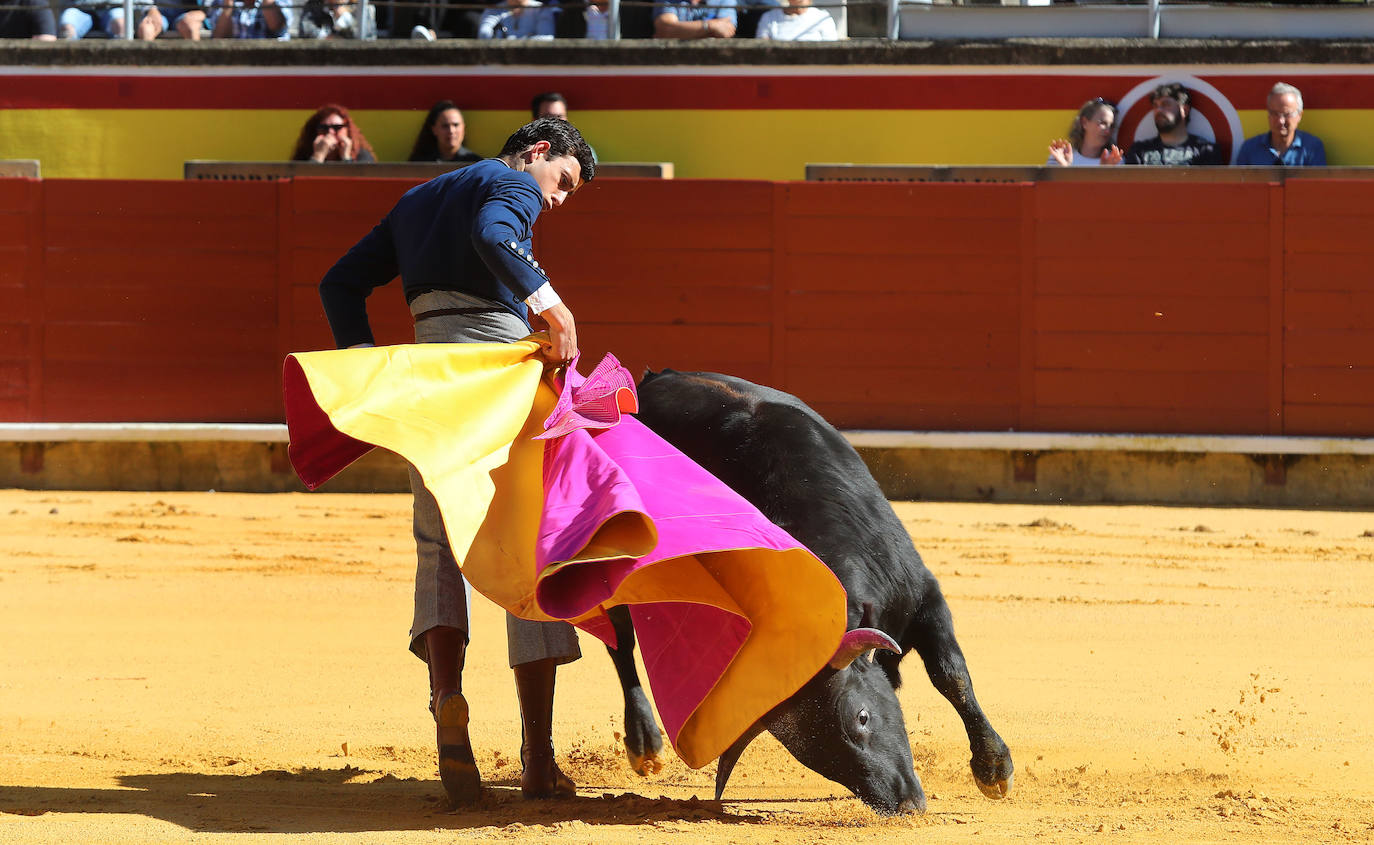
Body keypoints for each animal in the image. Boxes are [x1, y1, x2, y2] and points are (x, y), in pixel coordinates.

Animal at [607, 368, 1016, 813]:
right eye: (812, 754)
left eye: (862, 717)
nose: (904, 804)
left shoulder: (925, 596)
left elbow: (951, 675)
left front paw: (994, 769)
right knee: (621, 643)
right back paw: (644, 742)